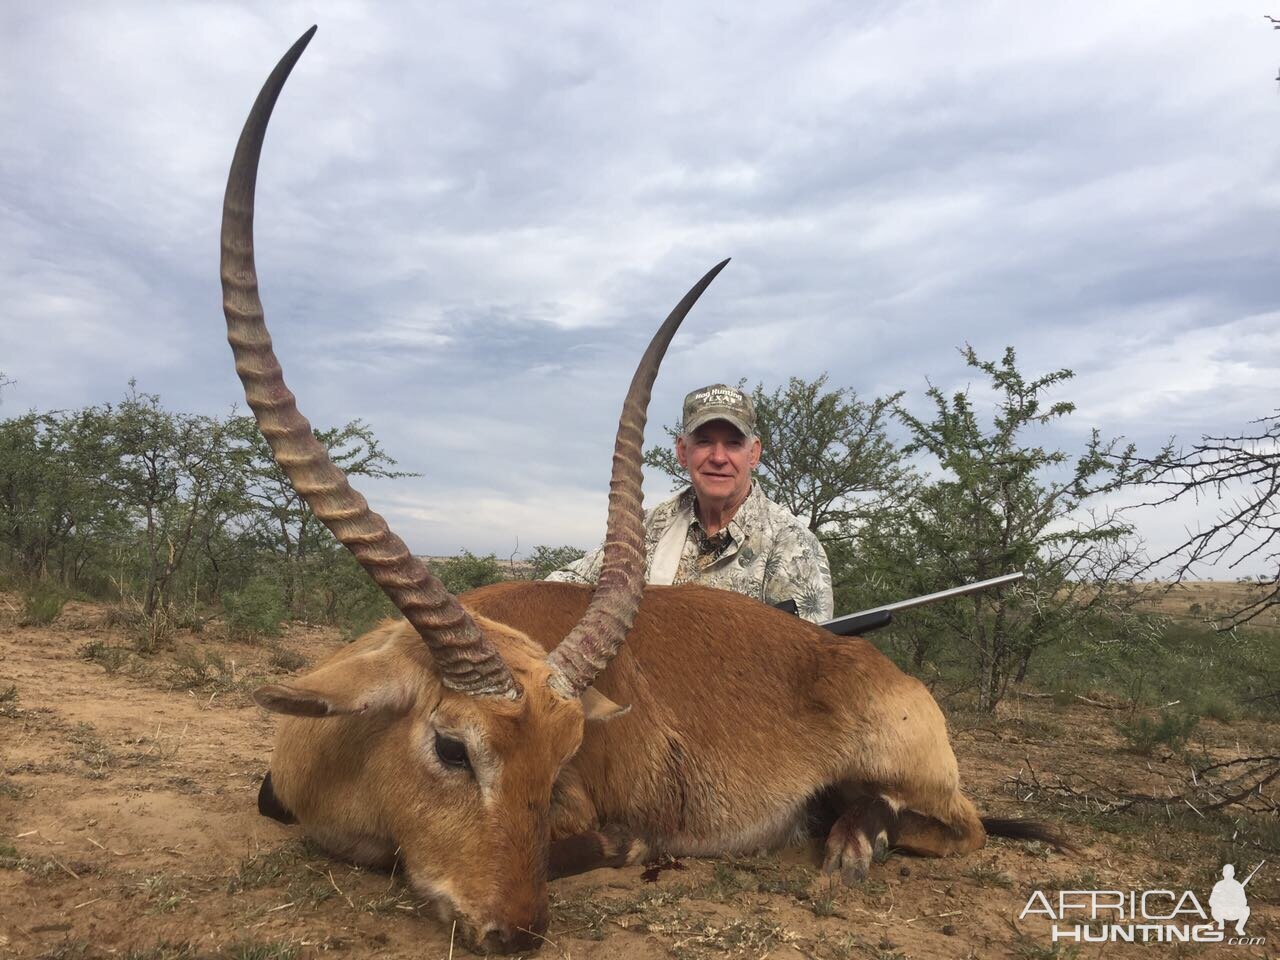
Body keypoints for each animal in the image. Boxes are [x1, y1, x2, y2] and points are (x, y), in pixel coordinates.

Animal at [225, 28, 1064, 957]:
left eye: (563, 756)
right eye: (452, 747)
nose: (517, 930)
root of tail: (872, 663)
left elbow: (605, 839)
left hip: (924, 780)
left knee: (959, 827)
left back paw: (851, 843)